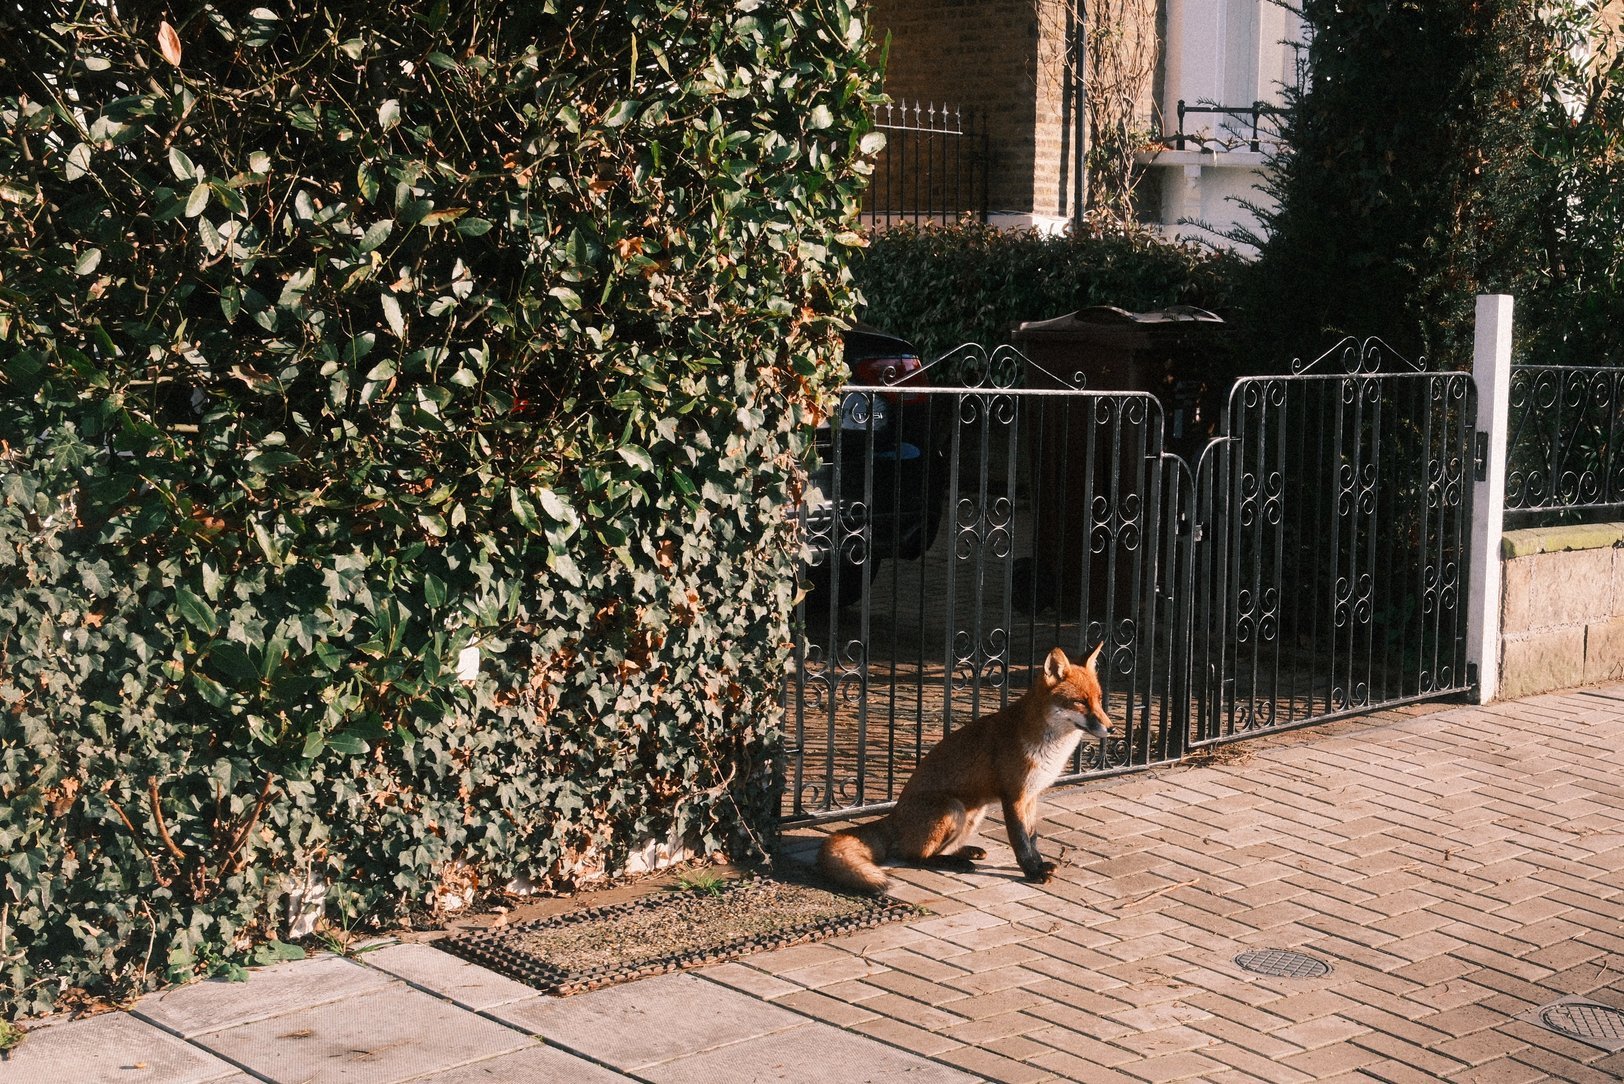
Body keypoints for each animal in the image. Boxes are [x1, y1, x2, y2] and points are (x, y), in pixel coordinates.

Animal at [818, 644, 1113, 894]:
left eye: (1099, 699)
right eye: (1080, 702)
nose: (1111, 729)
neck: (1048, 748)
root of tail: (893, 816)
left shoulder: (1031, 796)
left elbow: (1033, 837)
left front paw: (1039, 865)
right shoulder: (1014, 796)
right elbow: (1020, 840)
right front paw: (1032, 872)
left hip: (975, 812)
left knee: (934, 849)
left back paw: (964, 854)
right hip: (951, 808)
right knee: (910, 855)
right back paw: (955, 863)